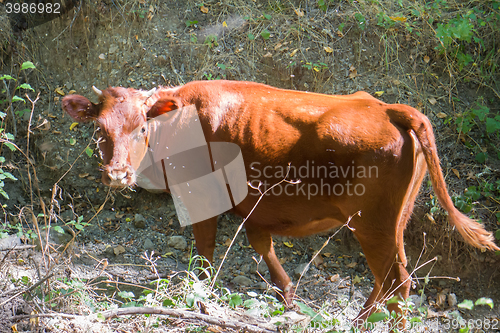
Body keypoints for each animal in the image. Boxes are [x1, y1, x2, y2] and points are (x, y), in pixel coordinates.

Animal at [60, 80, 498, 326]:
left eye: (141, 127)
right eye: (100, 129)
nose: (117, 174)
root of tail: (390, 108)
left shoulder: (199, 196)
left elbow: (204, 254)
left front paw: (199, 302)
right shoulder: (256, 209)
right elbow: (262, 246)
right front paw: (287, 298)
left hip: (370, 222)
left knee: (397, 282)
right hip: (395, 220)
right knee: (391, 277)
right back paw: (358, 320)